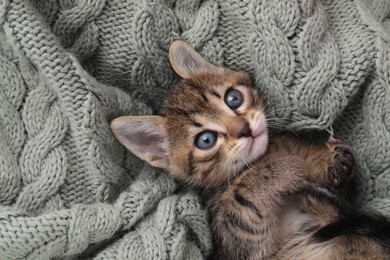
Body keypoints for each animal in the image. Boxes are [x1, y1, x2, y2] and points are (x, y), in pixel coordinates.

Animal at [110, 41, 390, 260]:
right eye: (206, 140)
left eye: (233, 98)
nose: (244, 128)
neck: (268, 154)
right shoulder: (241, 242)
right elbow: (242, 195)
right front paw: (285, 170)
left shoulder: (347, 203)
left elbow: (343, 195)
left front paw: (330, 162)